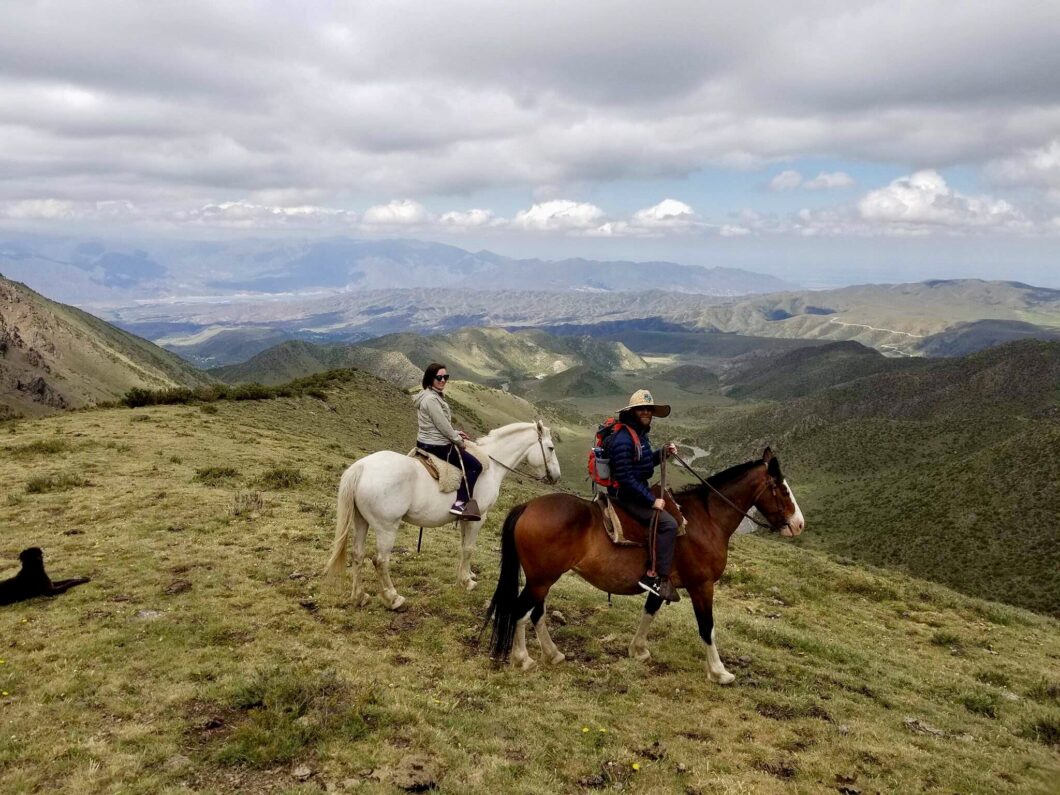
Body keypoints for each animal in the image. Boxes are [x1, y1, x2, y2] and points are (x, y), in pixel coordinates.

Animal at [322, 423, 559, 610]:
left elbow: (464, 548)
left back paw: (359, 596)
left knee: (358, 555)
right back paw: (393, 598)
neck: (491, 466)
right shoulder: (480, 518)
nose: (556, 477)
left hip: (361, 521)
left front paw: (466, 575)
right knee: (380, 560)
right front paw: (467, 582)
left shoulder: (467, 519)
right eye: (550, 448)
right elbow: (469, 548)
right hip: (386, 527)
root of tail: (361, 467)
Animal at [483, 449, 801, 686]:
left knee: (535, 612)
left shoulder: (663, 582)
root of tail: (527, 507)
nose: (799, 524)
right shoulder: (702, 585)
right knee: (521, 610)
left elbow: (650, 611)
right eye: (783, 490)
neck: (706, 520)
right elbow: (707, 627)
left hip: (543, 579)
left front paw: (638, 650)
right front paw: (719, 672)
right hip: (541, 578)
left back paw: (553, 654)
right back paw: (523, 659)